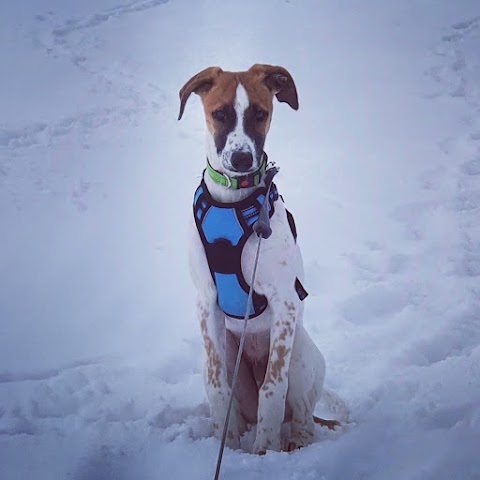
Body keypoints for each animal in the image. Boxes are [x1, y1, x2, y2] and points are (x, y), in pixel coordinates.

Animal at [177, 64, 338, 454]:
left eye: (260, 114)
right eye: (219, 113)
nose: (241, 160)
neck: (233, 202)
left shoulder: (285, 301)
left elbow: (273, 387)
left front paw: (264, 451)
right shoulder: (207, 303)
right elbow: (217, 385)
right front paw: (229, 447)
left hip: (302, 357)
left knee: (301, 416)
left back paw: (294, 441)